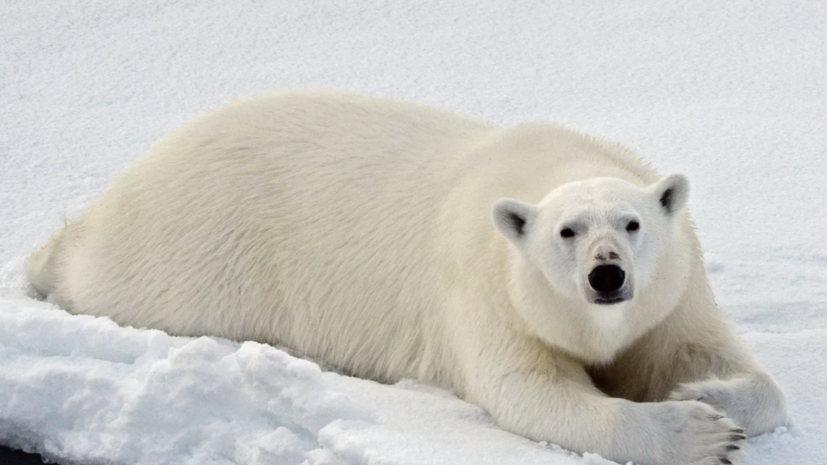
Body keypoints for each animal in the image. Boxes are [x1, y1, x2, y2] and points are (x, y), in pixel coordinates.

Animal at [27, 90, 788, 464]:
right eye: (566, 232)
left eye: (631, 223)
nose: (606, 276)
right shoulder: (486, 291)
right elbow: (529, 392)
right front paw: (698, 432)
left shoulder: (673, 294)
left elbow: (720, 360)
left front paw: (704, 391)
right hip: (198, 255)